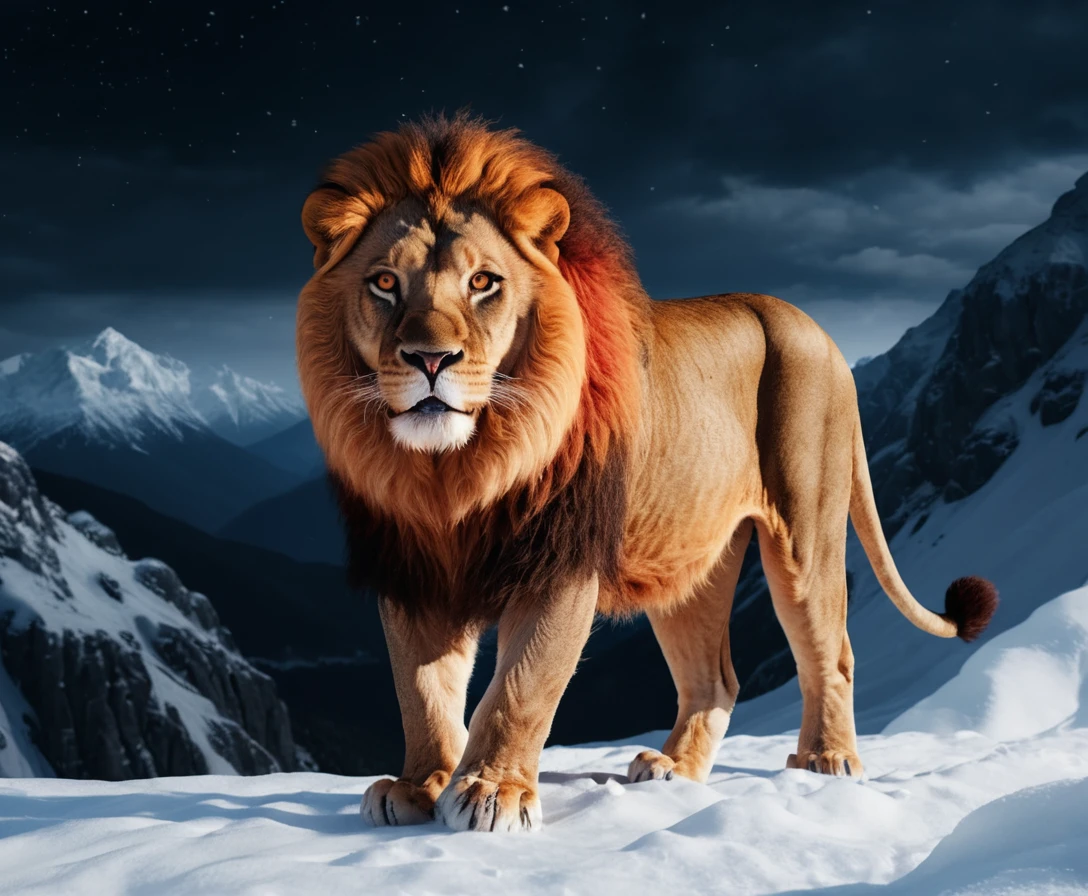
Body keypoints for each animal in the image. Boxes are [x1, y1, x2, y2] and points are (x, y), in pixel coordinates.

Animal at [296, 114, 998, 833]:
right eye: (384, 283)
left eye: (484, 283)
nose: (430, 359)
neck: (454, 471)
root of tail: (818, 332)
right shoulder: (410, 568)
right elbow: (421, 690)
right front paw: (419, 785)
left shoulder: (562, 561)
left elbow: (522, 684)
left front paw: (492, 792)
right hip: (689, 559)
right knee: (716, 678)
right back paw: (672, 770)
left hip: (805, 533)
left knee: (833, 653)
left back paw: (826, 760)